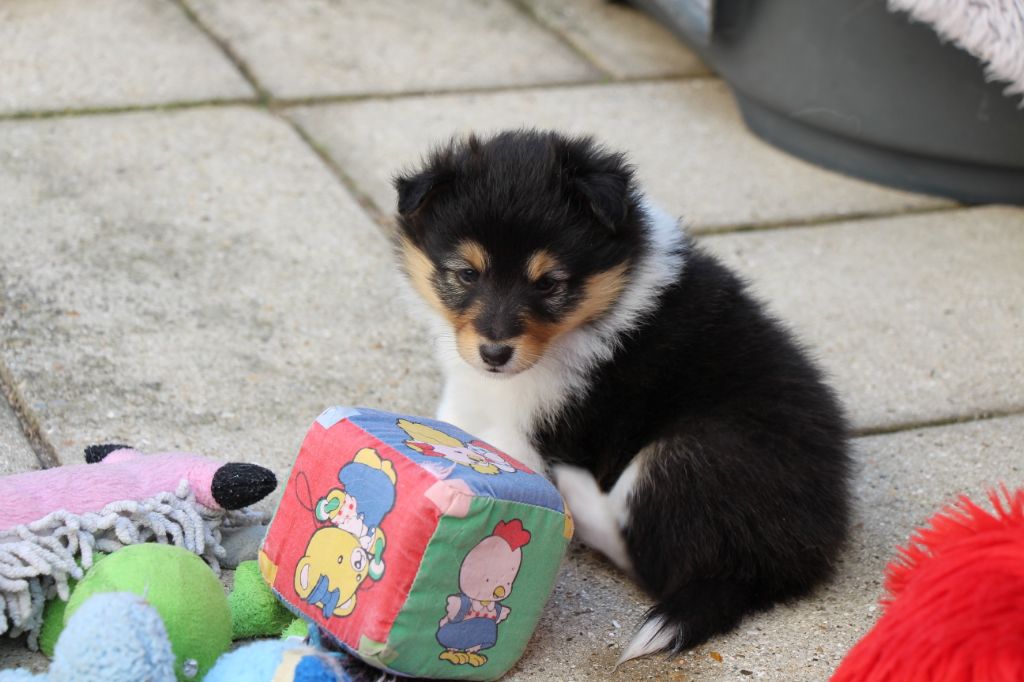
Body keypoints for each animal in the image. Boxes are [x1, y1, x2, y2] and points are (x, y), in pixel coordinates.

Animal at [392, 129, 852, 662]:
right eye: (467, 273)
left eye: (548, 283)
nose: (494, 353)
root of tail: (782, 566)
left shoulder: (536, 427)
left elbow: (508, 452)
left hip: (697, 450)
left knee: (651, 558)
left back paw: (575, 490)